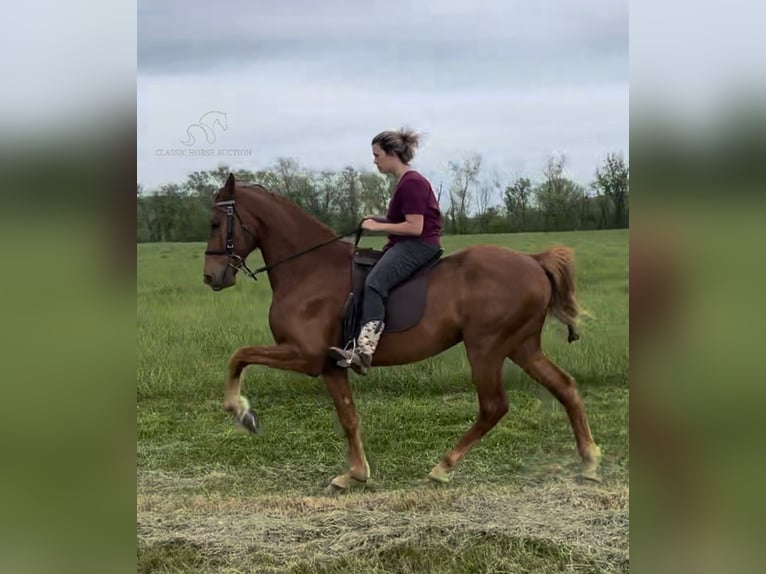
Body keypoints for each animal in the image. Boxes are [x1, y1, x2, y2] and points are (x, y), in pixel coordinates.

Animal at [201, 173, 604, 492]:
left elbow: (239, 356)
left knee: (494, 407)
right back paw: (588, 462)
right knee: (565, 387)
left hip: (486, 347)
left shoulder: (305, 354)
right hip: (521, 346)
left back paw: (442, 467)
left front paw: (241, 412)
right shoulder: (330, 365)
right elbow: (348, 416)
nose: (210, 277)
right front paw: (355, 474)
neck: (308, 269)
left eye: (216, 223)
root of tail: (534, 262)